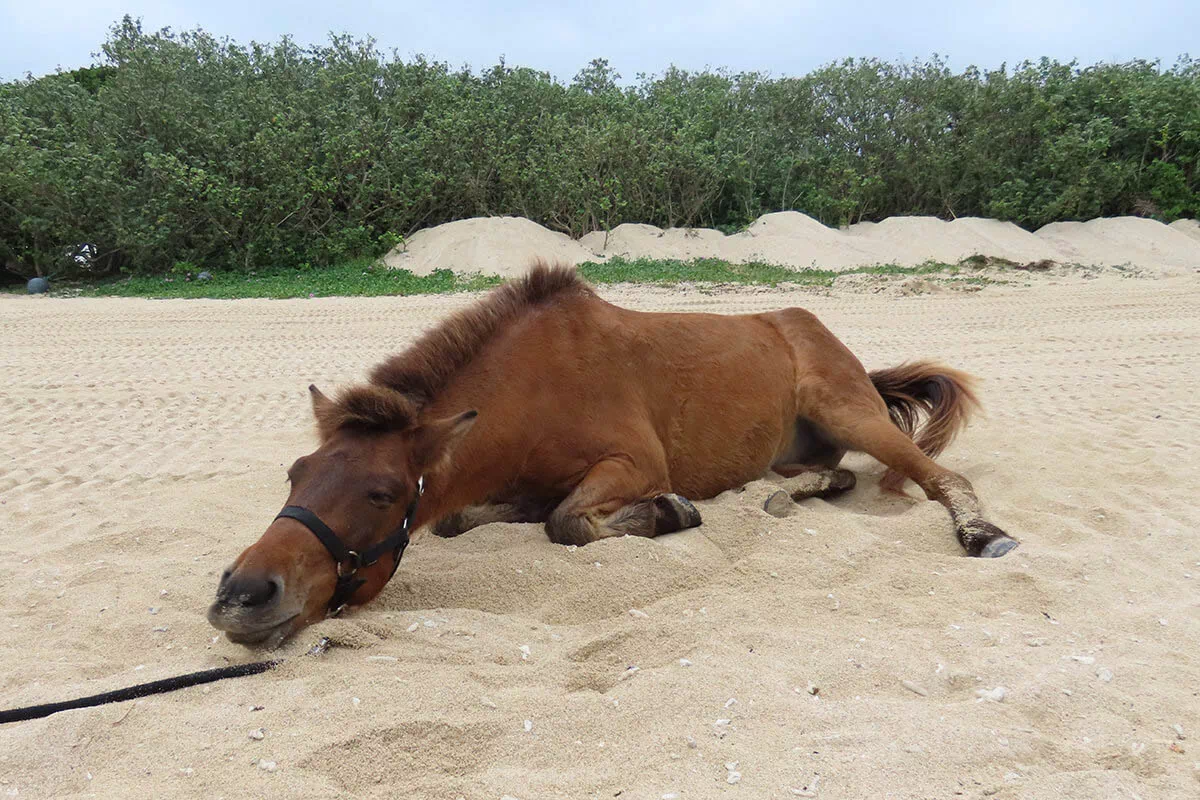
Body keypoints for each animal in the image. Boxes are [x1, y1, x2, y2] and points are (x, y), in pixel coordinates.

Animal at [207, 261, 1018, 646]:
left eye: (381, 492)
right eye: (297, 474)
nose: (242, 596)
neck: (532, 390)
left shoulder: (631, 466)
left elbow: (566, 522)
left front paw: (669, 513)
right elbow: (468, 518)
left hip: (848, 410)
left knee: (940, 475)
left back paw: (983, 533)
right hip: (797, 449)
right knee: (832, 476)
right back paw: (778, 498)